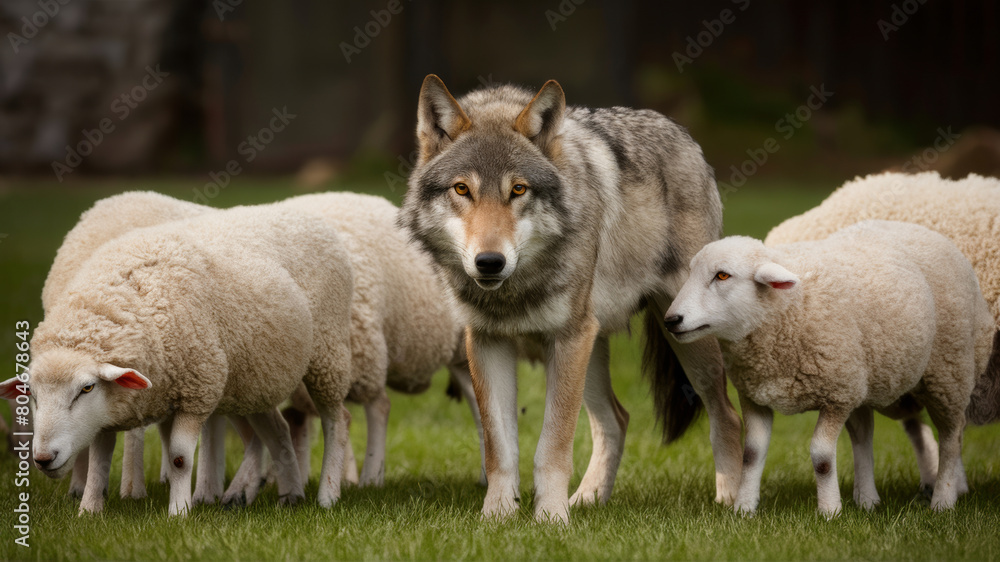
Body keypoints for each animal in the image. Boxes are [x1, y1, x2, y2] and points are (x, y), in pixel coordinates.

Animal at [1, 206, 356, 515]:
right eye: (31, 395)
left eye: (86, 388)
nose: (43, 458)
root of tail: (306, 215)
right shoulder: (110, 409)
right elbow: (99, 461)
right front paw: (88, 511)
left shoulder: (197, 389)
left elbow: (180, 458)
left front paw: (179, 512)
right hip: (254, 377)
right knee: (279, 431)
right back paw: (291, 495)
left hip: (328, 353)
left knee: (336, 422)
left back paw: (327, 494)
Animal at [399, 75, 743, 523]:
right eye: (462, 189)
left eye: (518, 190)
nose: (489, 262)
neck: (516, 290)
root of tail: (683, 134)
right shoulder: (488, 342)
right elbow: (499, 449)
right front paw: (497, 518)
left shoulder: (566, 340)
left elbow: (553, 445)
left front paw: (550, 520)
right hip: (594, 349)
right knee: (618, 419)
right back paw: (588, 499)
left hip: (681, 340)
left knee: (728, 414)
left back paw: (733, 502)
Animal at [664, 220, 997, 517]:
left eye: (722, 275)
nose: (671, 320)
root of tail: (927, 231)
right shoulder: (756, 396)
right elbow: (751, 455)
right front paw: (744, 508)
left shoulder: (837, 395)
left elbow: (822, 457)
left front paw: (829, 511)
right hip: (865, 380)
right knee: (864, 436)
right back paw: (868, 500)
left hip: (948, 372)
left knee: (951, 437)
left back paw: (944, 500)